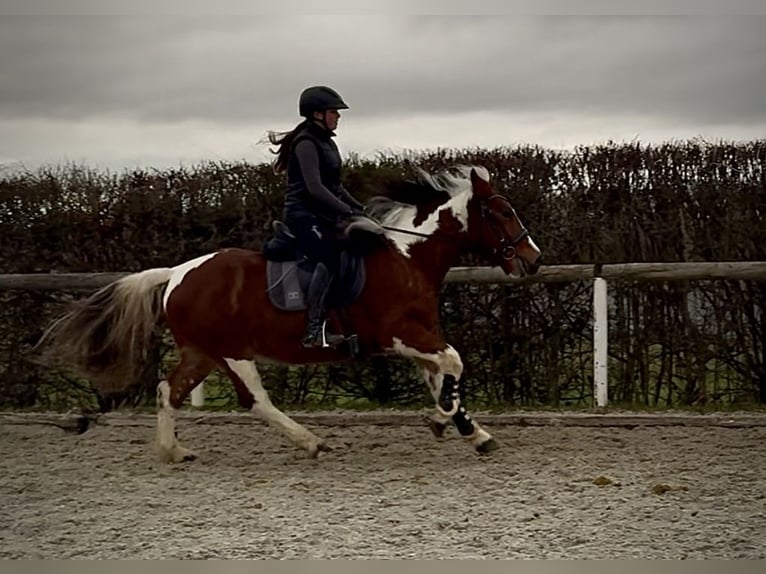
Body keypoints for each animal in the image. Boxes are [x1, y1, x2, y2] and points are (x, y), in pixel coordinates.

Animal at [38, 164, 542, 462]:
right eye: (501, 212)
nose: (533, 260)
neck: (407, 256)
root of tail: (178, 273)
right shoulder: (399, 334)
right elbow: (454, 363)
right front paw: (446, 423)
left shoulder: (419, 337)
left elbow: (443, 380)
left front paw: (468, 430)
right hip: (233, 351)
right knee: (255, 401)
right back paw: (310, 441)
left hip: (202, 352)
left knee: (168, 390)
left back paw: (174, 451)